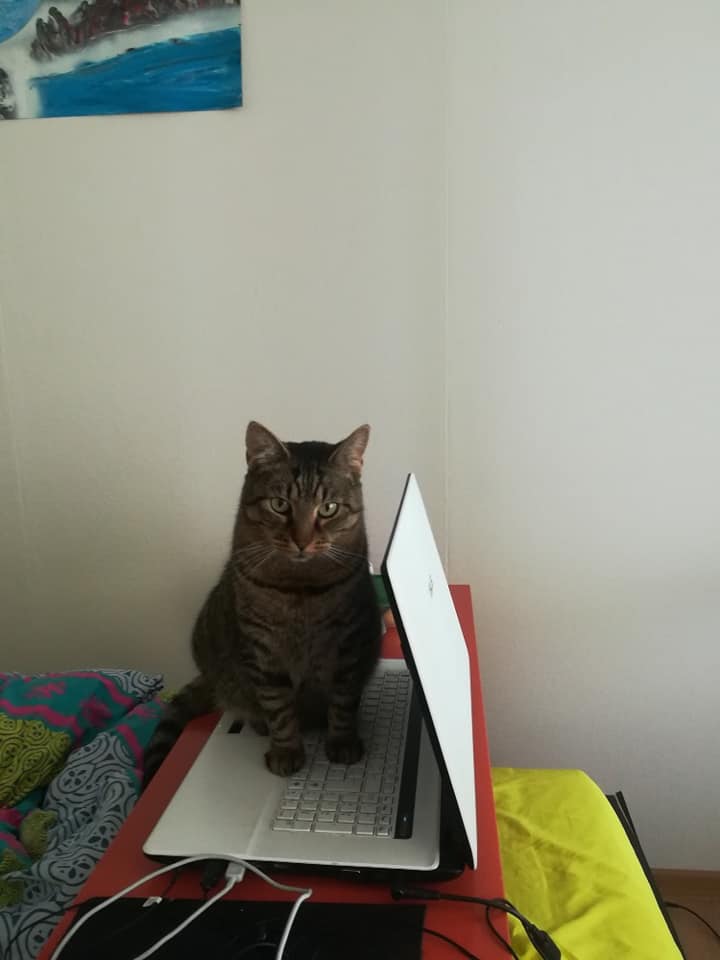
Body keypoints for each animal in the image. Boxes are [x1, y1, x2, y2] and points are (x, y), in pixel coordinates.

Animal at [142, 421, 382, 786]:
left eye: (328, 508)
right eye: (280, 504)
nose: (302, 541)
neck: (301, 589)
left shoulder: (348, 644)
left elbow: (343, 700)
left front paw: (342, 740)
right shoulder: (263, 650)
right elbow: (279, 707)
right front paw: (286, 750)